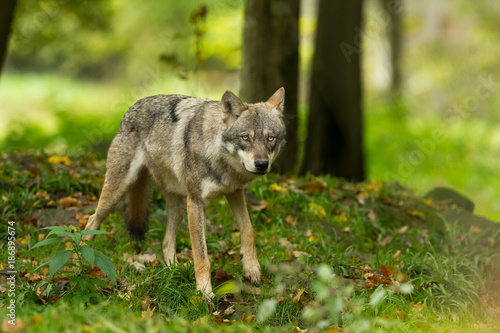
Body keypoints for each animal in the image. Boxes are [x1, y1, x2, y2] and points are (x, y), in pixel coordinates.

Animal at [81, 87, 286, 296]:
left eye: (270, 138)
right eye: (245, 137)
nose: (261, 164)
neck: (221, 159)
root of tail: (131, 108)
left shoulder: (235, 192)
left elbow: (249, 230)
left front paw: (252, 269)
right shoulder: (195, 202)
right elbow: (201, 254)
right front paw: (204, 293)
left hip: (178, 205)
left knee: (166, 241)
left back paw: (174, 271)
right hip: (117, 191)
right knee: (91, 220)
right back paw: (83, 259)